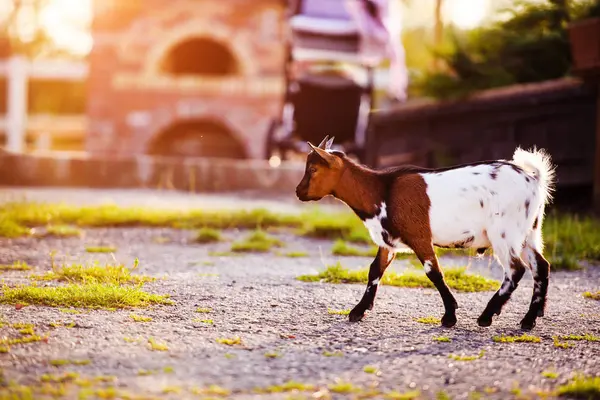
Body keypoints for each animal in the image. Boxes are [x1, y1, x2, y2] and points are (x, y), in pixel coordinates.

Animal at [292, 136, 556, 330]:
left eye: (313, 169)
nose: (298, 192)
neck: (382, 190)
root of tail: (533, 179)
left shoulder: (419, 237)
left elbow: (434, 273)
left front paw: (449, 316)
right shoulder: (388, 241)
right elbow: (375, 270)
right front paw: (357, 311)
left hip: (504, 232)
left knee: (515, 269)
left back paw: (487, 316)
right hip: (530, 232)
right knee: (541, 266)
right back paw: (529, 319)